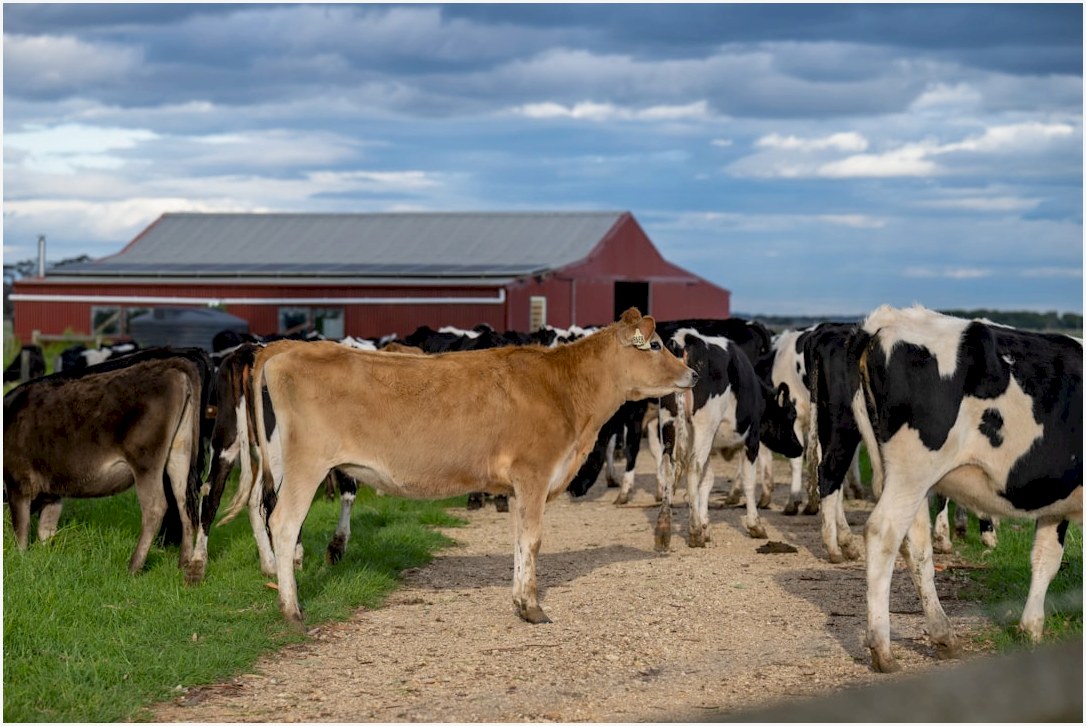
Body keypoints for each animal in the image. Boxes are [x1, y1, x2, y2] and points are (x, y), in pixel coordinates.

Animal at [3, 347, 213, 574]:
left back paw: (134, 566)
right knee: (184, 505)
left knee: (155, 508)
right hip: (179, 454)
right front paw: (43, 558)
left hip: (146, 462)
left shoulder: (17, 482)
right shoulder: (52, 491)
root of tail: (171, 365)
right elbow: (46, 530)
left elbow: (21, 530)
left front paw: (20, 559)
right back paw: (183, 563)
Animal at [237, 308, 695, 629]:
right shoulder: (533, 473)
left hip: (277, 464)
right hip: (306, 466)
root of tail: (283, 348)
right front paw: (533, 608)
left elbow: (519, 542)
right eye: (656, 345)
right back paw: (293, 611)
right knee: (283, 524)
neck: (563, 389)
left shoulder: (518, 486)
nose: (693, 372)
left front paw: (519, 601)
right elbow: (533, 541)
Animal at [654, 327, 803, 550]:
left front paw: (706, 526)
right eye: (790, 416)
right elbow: (749, 480)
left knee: (667, 468)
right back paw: (694, 532)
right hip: (704, 425)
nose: (799, 448)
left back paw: (664, 530)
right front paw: (755, 525)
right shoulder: (751, 439)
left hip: (669, 424)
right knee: (693, 469)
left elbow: (707, 481)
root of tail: (686, 339)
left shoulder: (710, 445)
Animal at [851, 305, 1081, 673]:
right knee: (882, 533)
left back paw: (943, 634)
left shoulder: (1055, 498)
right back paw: (883, 650)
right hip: (914, 469)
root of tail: (886, 321)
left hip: (905, 477)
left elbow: (1045, 558)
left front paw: (1031, 629)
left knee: (916, 545)